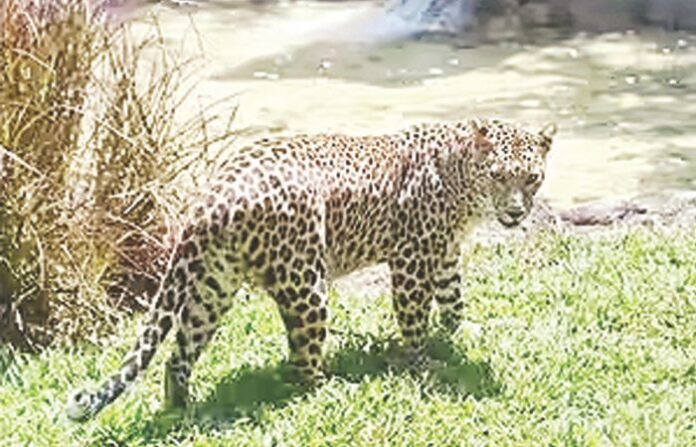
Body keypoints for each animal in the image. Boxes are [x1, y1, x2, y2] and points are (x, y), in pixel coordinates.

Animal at [66, 118, 556, 420]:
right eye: (498, 175)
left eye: (531, 178)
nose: (515, 213)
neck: (462, 184)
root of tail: (212, 195)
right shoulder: (412, 259)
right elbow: (415, 315)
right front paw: (423, 364)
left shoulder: (445, 251)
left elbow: (454, 296)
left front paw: (461, 332)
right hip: (306, 285)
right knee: (302, 363)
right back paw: (328, 391)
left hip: (213, 286)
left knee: (178, 354)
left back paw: (180, 410)